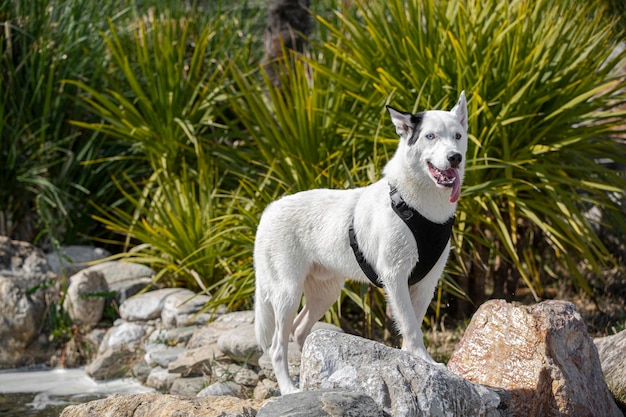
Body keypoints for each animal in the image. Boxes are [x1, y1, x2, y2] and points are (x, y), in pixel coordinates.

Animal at [252, 92, 464, 394]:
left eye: (458, 136)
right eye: (431, 136)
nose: (455, 158)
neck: (418, 206)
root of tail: (268, 211)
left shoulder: (426, 284)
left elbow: (411, 324)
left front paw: (413, 363)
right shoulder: (395, 278)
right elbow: (411, 326)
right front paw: (423, 360)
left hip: (326, 292)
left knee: (300, 329)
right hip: (287, 294)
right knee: (277, 346)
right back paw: (289, 388)